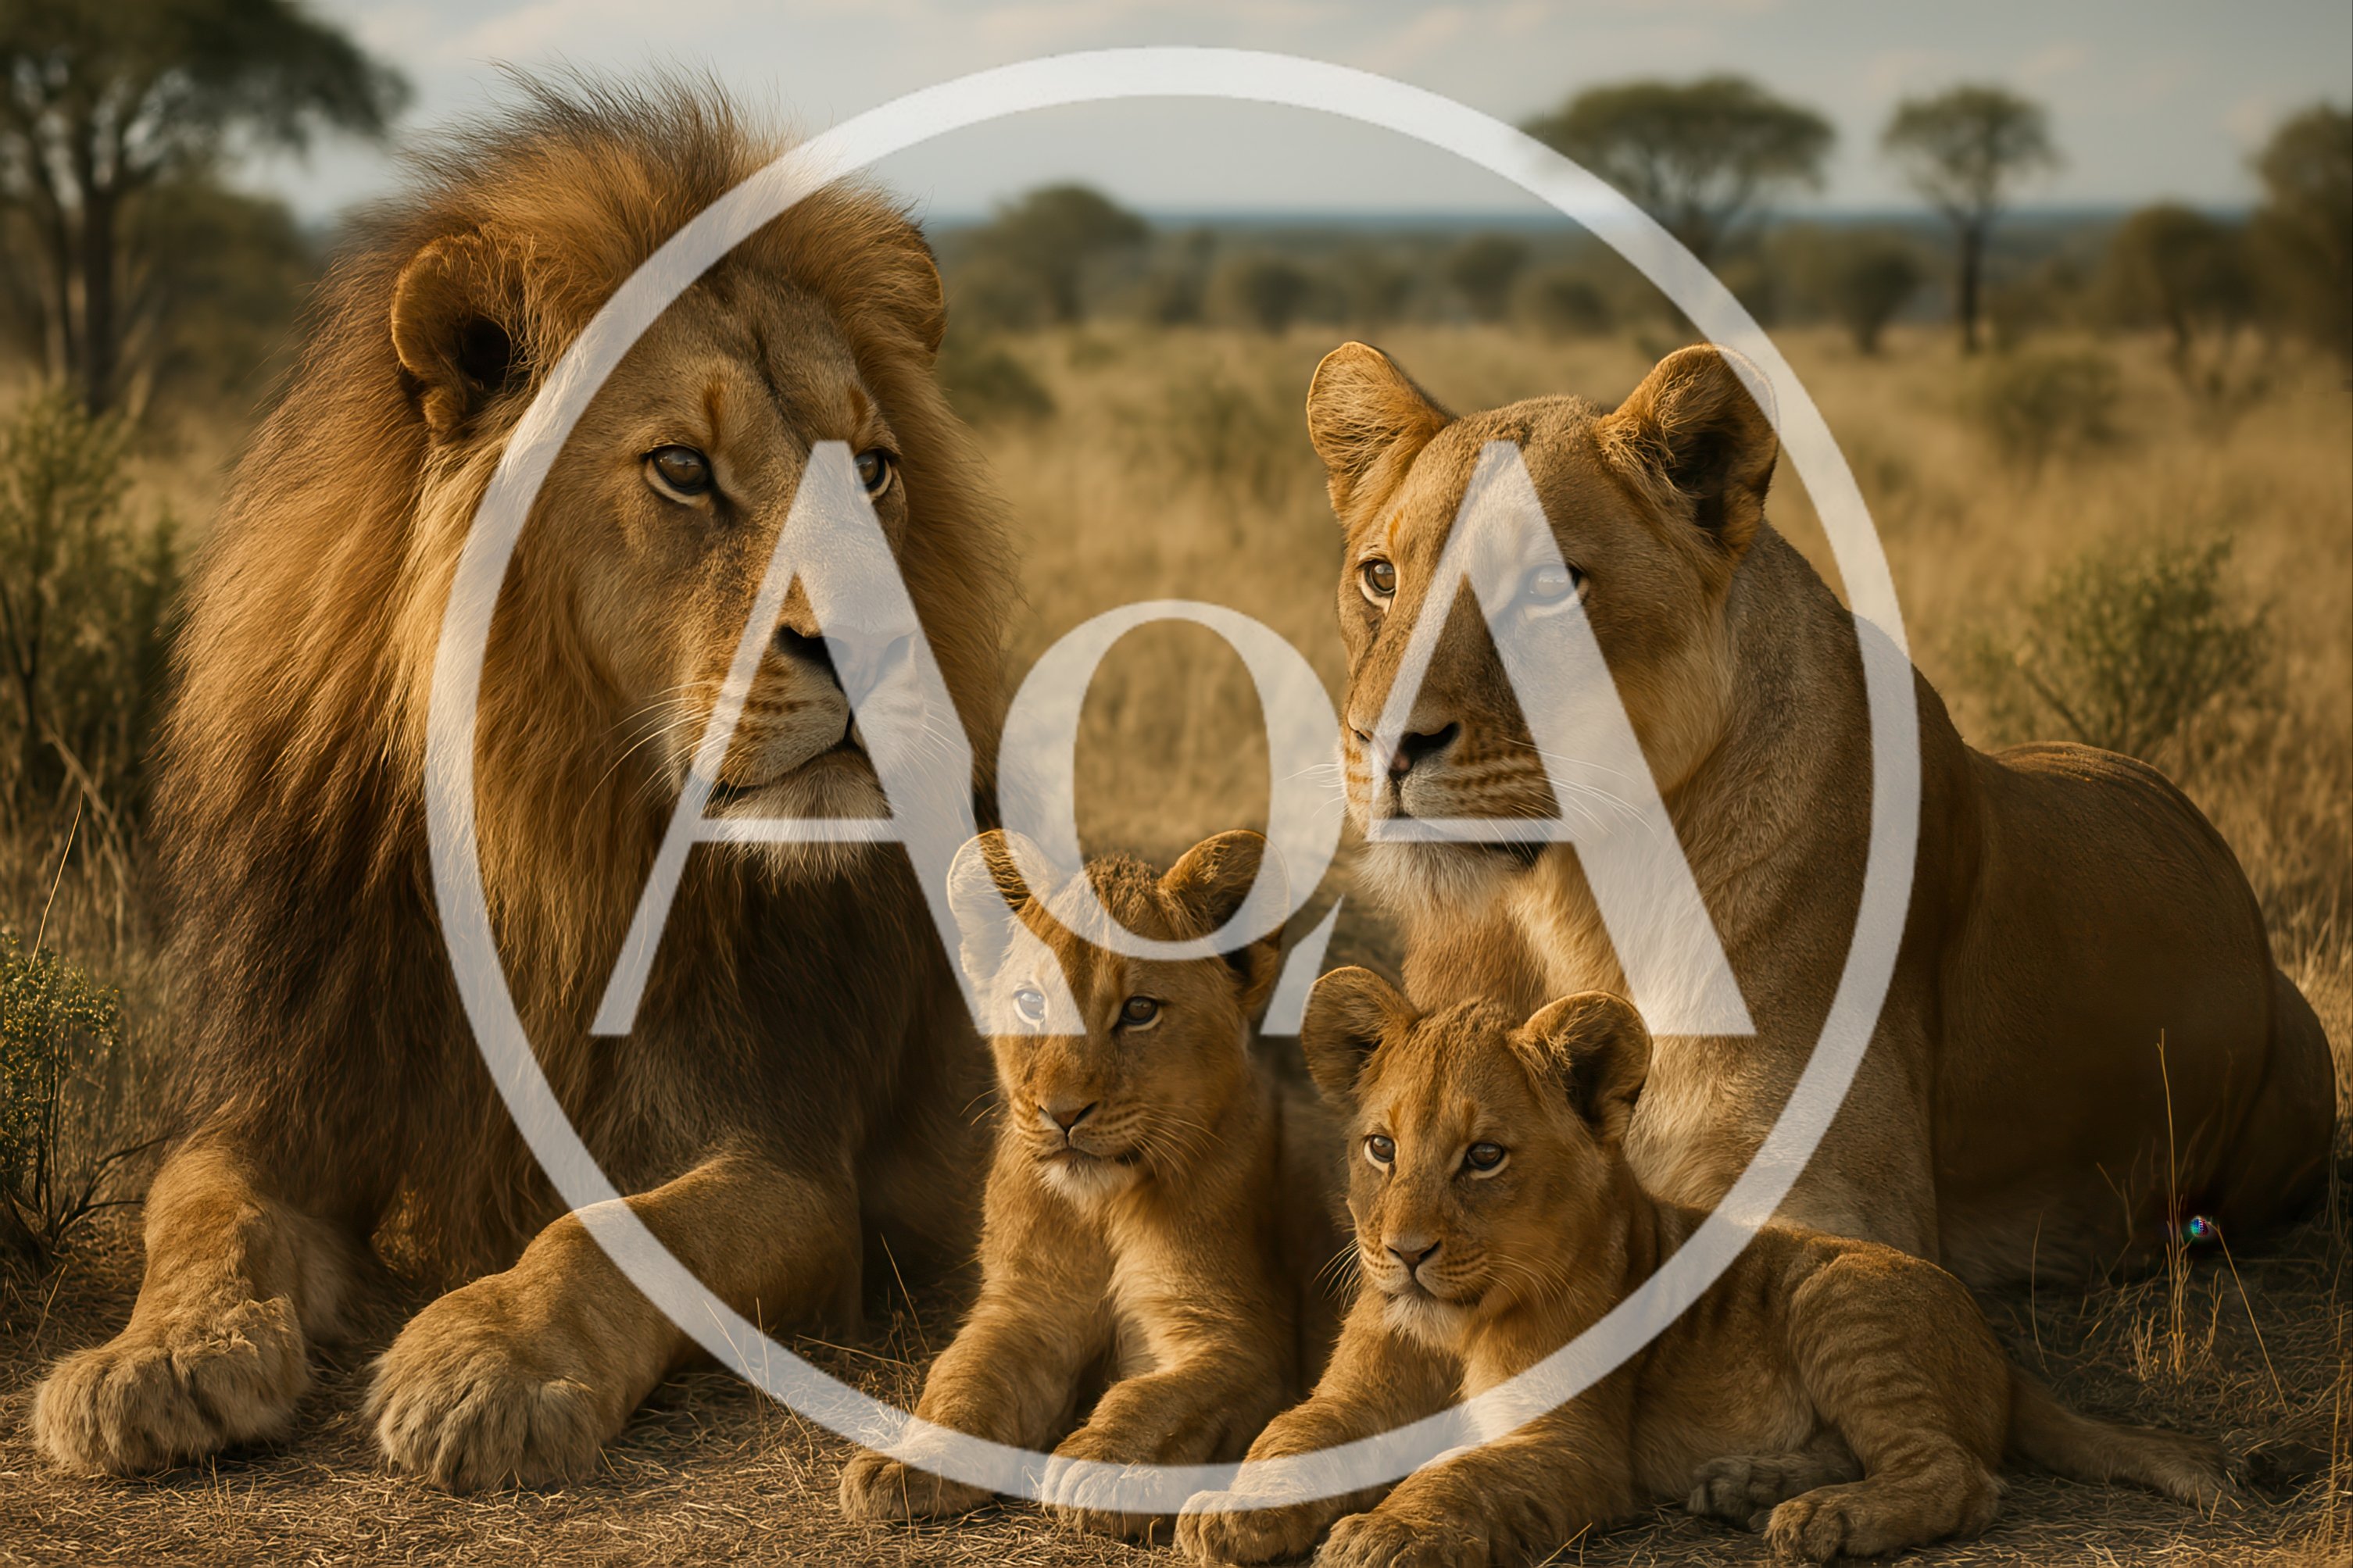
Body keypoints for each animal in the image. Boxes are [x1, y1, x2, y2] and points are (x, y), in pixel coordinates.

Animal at [32, 78, 1010, 1488]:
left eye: (872, 468)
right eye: (682, 469)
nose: (885, 644)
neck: (552, 838)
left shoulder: (790, 1163)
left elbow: (609, 1227)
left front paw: (484, 1359)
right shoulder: (285, 1091)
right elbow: (200, 1204)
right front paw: (153, 1357)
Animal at [838, 828, 1346, 1539]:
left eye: (1138, 1011)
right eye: (1031, 1004)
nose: (1063, 1112)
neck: (1100, 1209)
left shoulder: (1237, 1338)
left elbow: (1148, 1395)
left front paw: (1100, 1464)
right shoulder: (1025, 1308)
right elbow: (961, 1380)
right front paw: (905, 1460)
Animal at [1178, 969, 2232, 1567]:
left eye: (1482, 1157)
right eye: (1381, 1149)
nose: (1402, 1255)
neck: (1457, 1323)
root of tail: (1995, 1346)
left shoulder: (1568, 1444)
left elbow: (1458, 1475)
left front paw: (1385, 1530)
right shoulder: (1348, 1402)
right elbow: (1285, 1438)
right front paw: (1224, 1512)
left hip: (1839, 1297)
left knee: (1958, 1477)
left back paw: (1822, 1520)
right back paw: (1748, 1487)